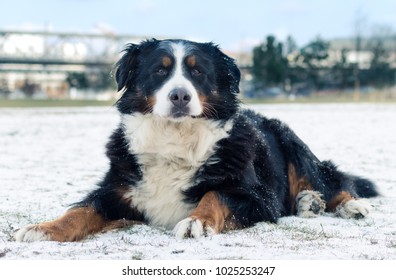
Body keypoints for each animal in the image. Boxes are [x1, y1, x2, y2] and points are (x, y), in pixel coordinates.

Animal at [14, 38, 378, 242]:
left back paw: (349, 204)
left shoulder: (257, 198)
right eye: (160, 71)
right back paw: (307, 203)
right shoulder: (117, 191)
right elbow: (81, 210)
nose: (179, 96)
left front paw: (196, 222)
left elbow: (215, 195)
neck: (175, 140)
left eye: (198, 72)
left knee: (330, 179)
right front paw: (44, 228)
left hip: (292, 143)